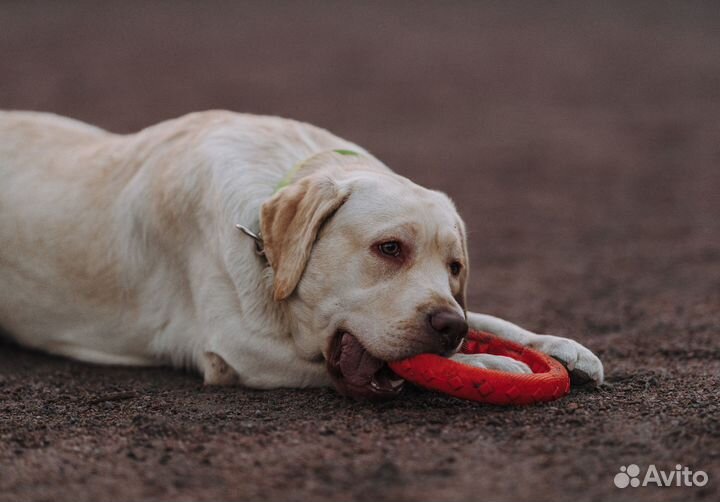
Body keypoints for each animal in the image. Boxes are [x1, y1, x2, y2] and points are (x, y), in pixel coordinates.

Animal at [0, 111, 604, 400]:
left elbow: (491, 320)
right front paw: (491, 364)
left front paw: (559, 346)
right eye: (389, 249)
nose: (448, 328)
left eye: (455, 268)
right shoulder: (239, 350)